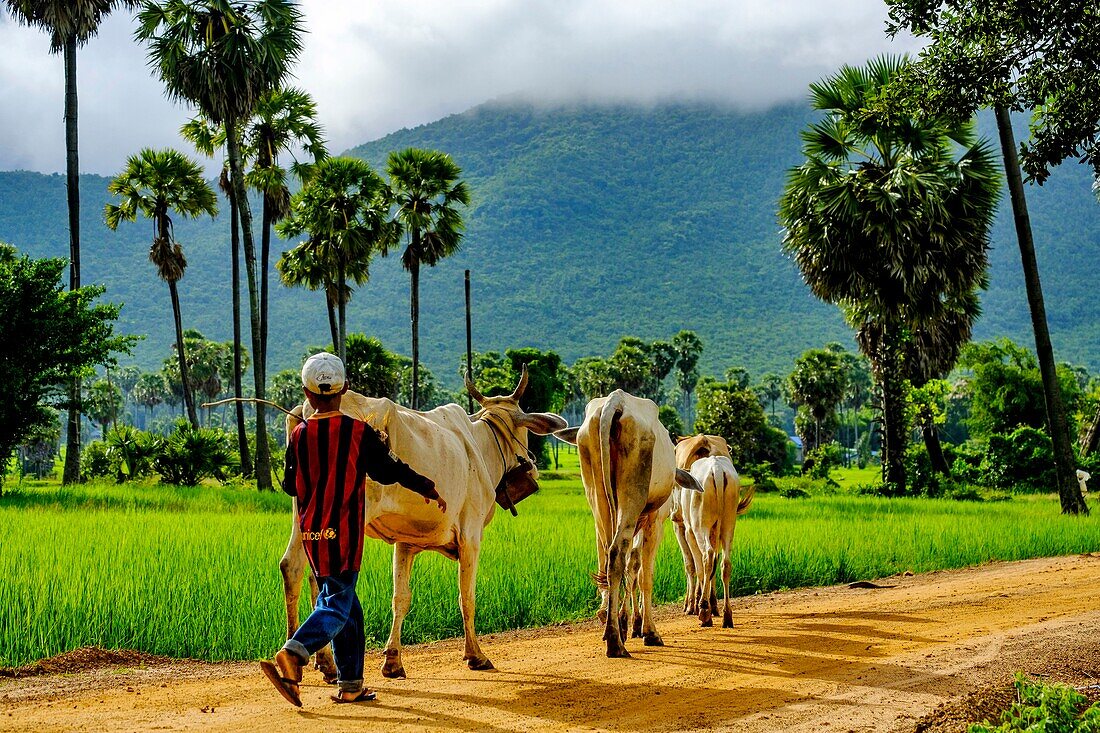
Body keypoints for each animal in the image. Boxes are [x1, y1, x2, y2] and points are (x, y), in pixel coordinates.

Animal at [281, 367, 567, 677]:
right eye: (525, 429)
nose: (533, 468)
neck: (481, 446)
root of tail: (307, 412)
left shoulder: (405, 542)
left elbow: (400, 598)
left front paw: (393, 660)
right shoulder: (470, 536)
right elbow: (467, 597)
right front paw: (475, 655)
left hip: (305, 513)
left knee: (295, 568)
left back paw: (319, 661)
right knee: (315, 574)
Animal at [554, 391, 699, 651]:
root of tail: (616, 401)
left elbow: (631, 567)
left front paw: (627, 622)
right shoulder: (653, 521)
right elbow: (642, 573)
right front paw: (646, 629)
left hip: (598, 496)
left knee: (607, 555)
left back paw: (608, 623)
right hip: (632, 497)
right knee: (617, 554)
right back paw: (615, 640)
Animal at [682, 453, 752, 625]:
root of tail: (717, 469)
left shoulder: (689, 532)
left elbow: (699, 569)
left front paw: (702, 604)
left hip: (700, 526)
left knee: (707, 557)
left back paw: (704, 610)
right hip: (728, 525)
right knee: (725, 564)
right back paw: (727, 615)